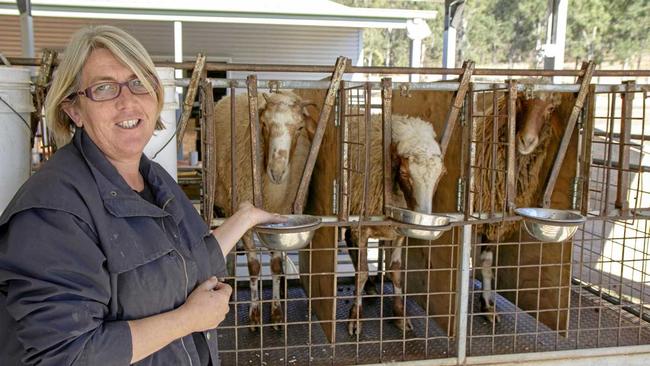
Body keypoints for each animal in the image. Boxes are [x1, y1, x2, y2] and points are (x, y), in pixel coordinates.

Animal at [211, 91, 316, 328]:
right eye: (265, 125)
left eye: (300, 128)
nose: (276, 172)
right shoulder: (246, 223)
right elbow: (254, 268)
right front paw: (255, 315)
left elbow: (275, 266)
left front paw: (276, 313)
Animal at [342, 113, 442, 334]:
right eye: (404, 173)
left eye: (441, 175)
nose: (424, 221)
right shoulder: (361, 228)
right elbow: (362, 272)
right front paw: (356, 317)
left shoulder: (399, 232)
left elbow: (396, 272)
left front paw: (400, 314)